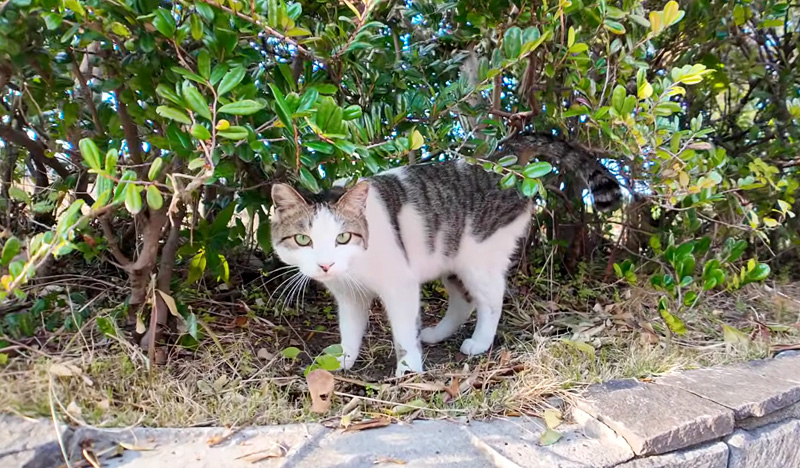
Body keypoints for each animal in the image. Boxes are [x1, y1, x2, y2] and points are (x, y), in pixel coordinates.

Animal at [268, 133, 620, 376]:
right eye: (303, 240)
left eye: (342, 237)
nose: (326, 264)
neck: (355, 266)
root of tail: (501, 161)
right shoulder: (350, 296)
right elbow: (350, 331)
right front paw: (341, 360)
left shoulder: (400, 286)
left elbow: (402, 332)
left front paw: (408, 369)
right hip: (450, 259)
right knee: (464, 302)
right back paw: (438, 333)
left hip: (477, 259)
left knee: (491, 300)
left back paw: (479, 342)